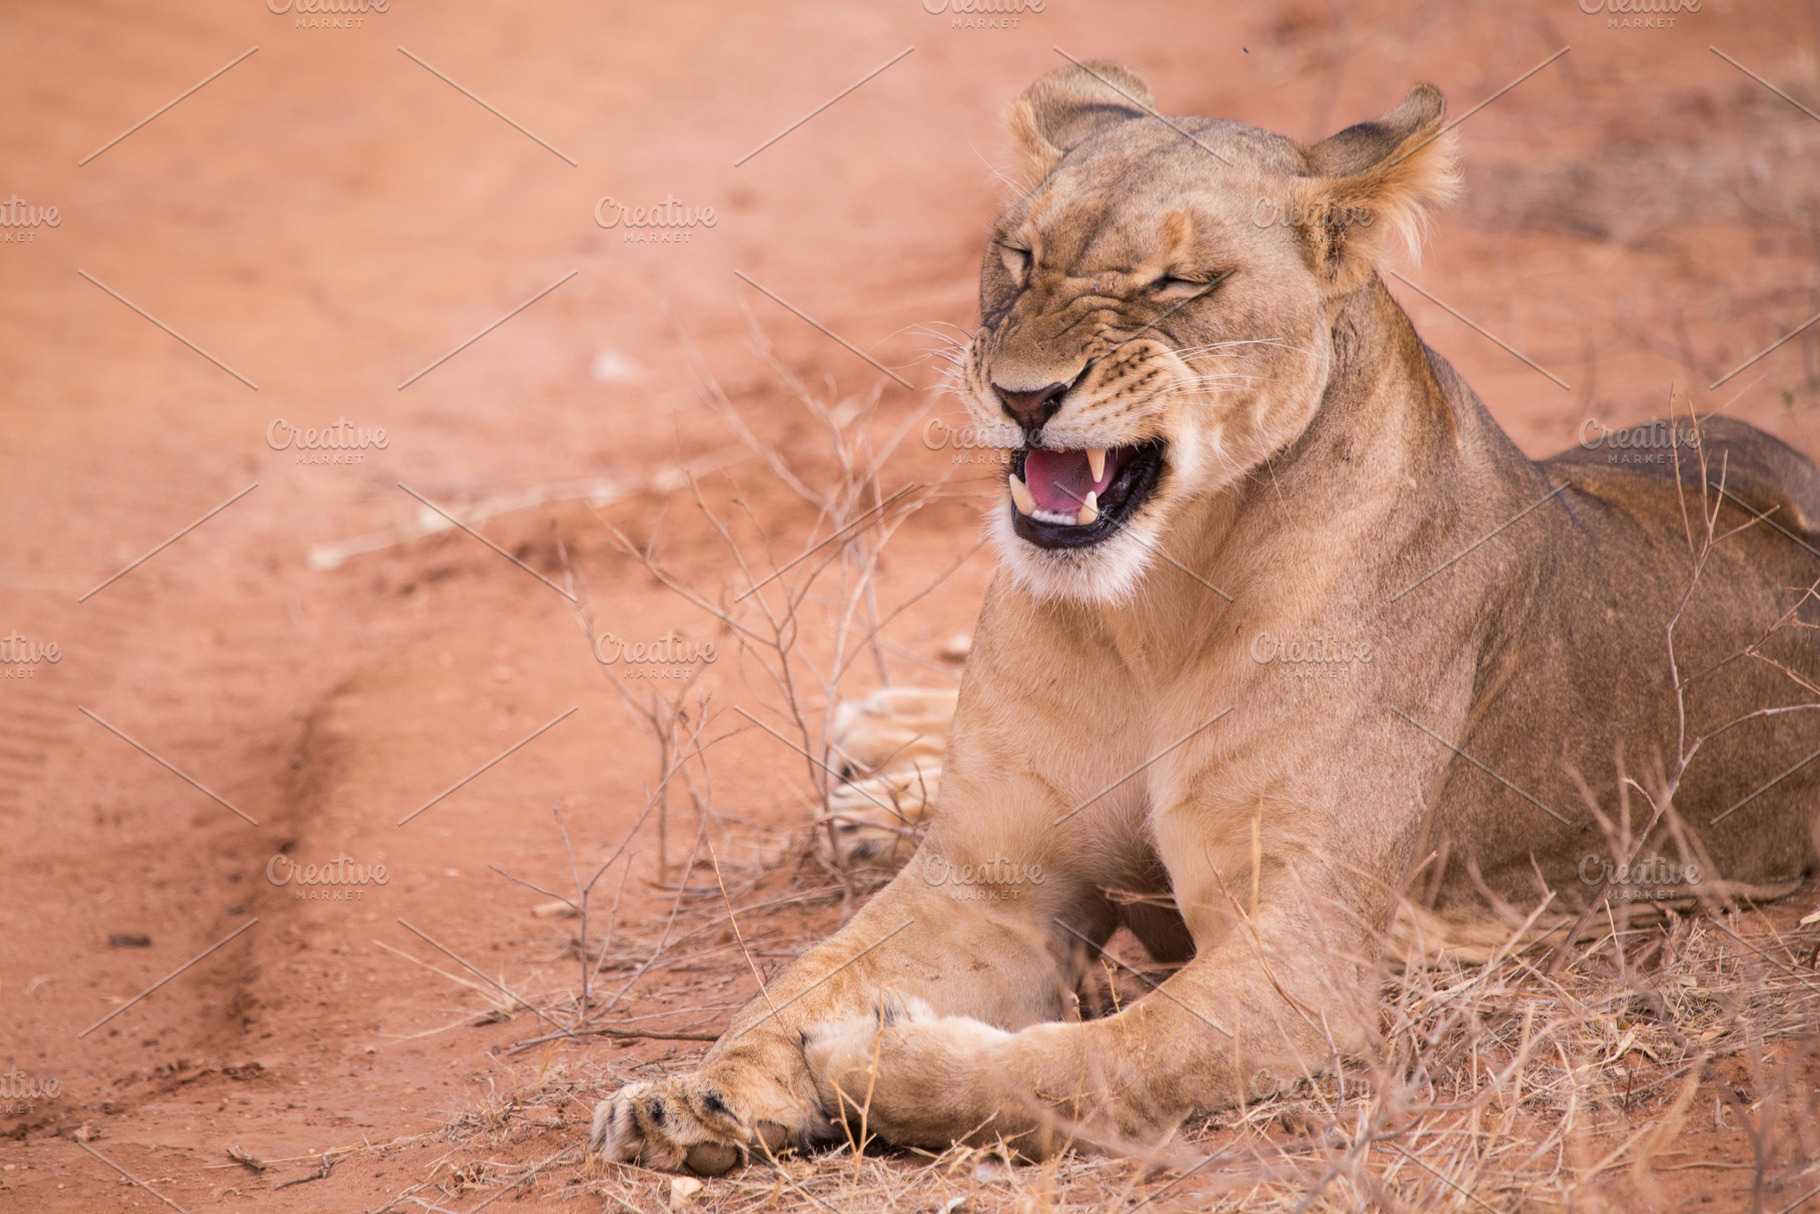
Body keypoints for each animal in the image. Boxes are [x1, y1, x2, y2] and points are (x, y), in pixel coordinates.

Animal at [592, 63, 1820, 1173]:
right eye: (1020, 256)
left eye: (1178, 282)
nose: (1022, 394)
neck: (1156, 602)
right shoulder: (989, 879)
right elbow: (807, 974)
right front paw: (692, 1093)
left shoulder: (1304, 956)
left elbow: (1098, 1064)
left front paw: (868, 1063)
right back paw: (877, 762)